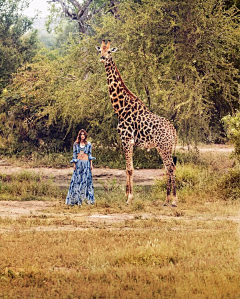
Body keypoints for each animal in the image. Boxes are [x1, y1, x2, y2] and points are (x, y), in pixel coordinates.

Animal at [96, 39, 178, 207]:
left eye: (109, 51)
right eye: (100, 50)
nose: (102, 58)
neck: (121, 108)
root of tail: (173, 131)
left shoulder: (127, 139)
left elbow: (130, 169)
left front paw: (129, 198)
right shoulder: (128, 141)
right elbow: (127, 168)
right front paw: (126, 196)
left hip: (164, 147)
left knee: (171, 168)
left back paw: (174, 200)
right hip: (164, 147)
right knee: (167, 168)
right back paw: (166, 200)